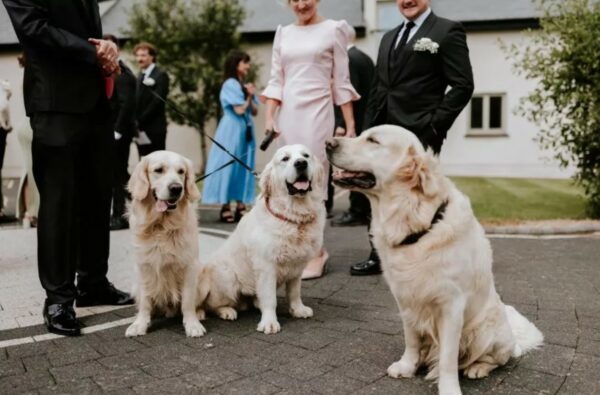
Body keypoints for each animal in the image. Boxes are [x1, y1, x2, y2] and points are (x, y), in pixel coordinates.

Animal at [125, 151, 206, 338]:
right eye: (158, 170)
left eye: (181, 171)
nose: (176, 188)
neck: (162, 226)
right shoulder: (144, 266)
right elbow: (146, 301)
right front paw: (140, 324)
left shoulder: (189, 266)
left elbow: (187, 301)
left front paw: (192, 324)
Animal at [198, 145, 326, 334]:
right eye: (285, 159)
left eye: (306, 156)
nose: (301, 163)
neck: (293, 216)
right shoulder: (267, 266)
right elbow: (270, 299)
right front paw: (269, 322)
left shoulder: (297, 266)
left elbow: (294, 292)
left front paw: (298, 309)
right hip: (228, 277)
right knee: (211, 304)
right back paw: (226, 311)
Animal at [328, 126, 544, 395]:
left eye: (373, 140)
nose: (328, 143)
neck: (414, 221)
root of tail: (514, 340)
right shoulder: (405, 299)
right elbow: (411, 339)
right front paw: (407, 365)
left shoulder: (452, 306)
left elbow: (448, 358)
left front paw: (449, 387)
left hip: (485, 331)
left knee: (495, 359)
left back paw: (478, 368)